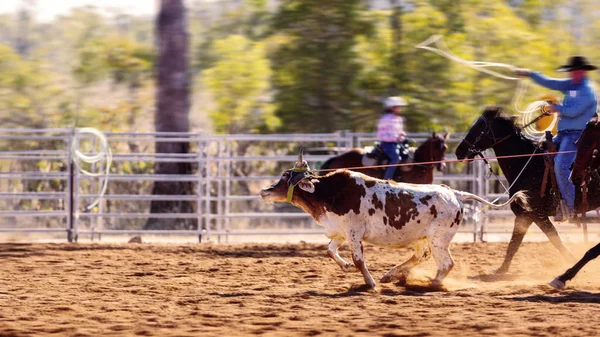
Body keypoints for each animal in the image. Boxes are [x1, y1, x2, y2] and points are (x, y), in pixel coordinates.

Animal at [260, 160, 528, 288]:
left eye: (285, 177)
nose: (264, 190)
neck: (331, 193)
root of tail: (455, 194)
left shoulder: (354, 232)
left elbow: (359, 260)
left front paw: (370, 283)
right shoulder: (340, 232)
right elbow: (330, 250)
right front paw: (345, 266)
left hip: (439, 239)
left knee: (446, 263)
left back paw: (431, 284)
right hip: (423, 238)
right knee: (420, 256)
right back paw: (392, 275)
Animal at [454, 106, 576, 274]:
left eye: (479, 128)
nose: (459, 152)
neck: (529, 165)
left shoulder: (535, 214)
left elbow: (554, 239)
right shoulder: (524, 215)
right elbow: (514, 244)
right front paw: (501, 269)